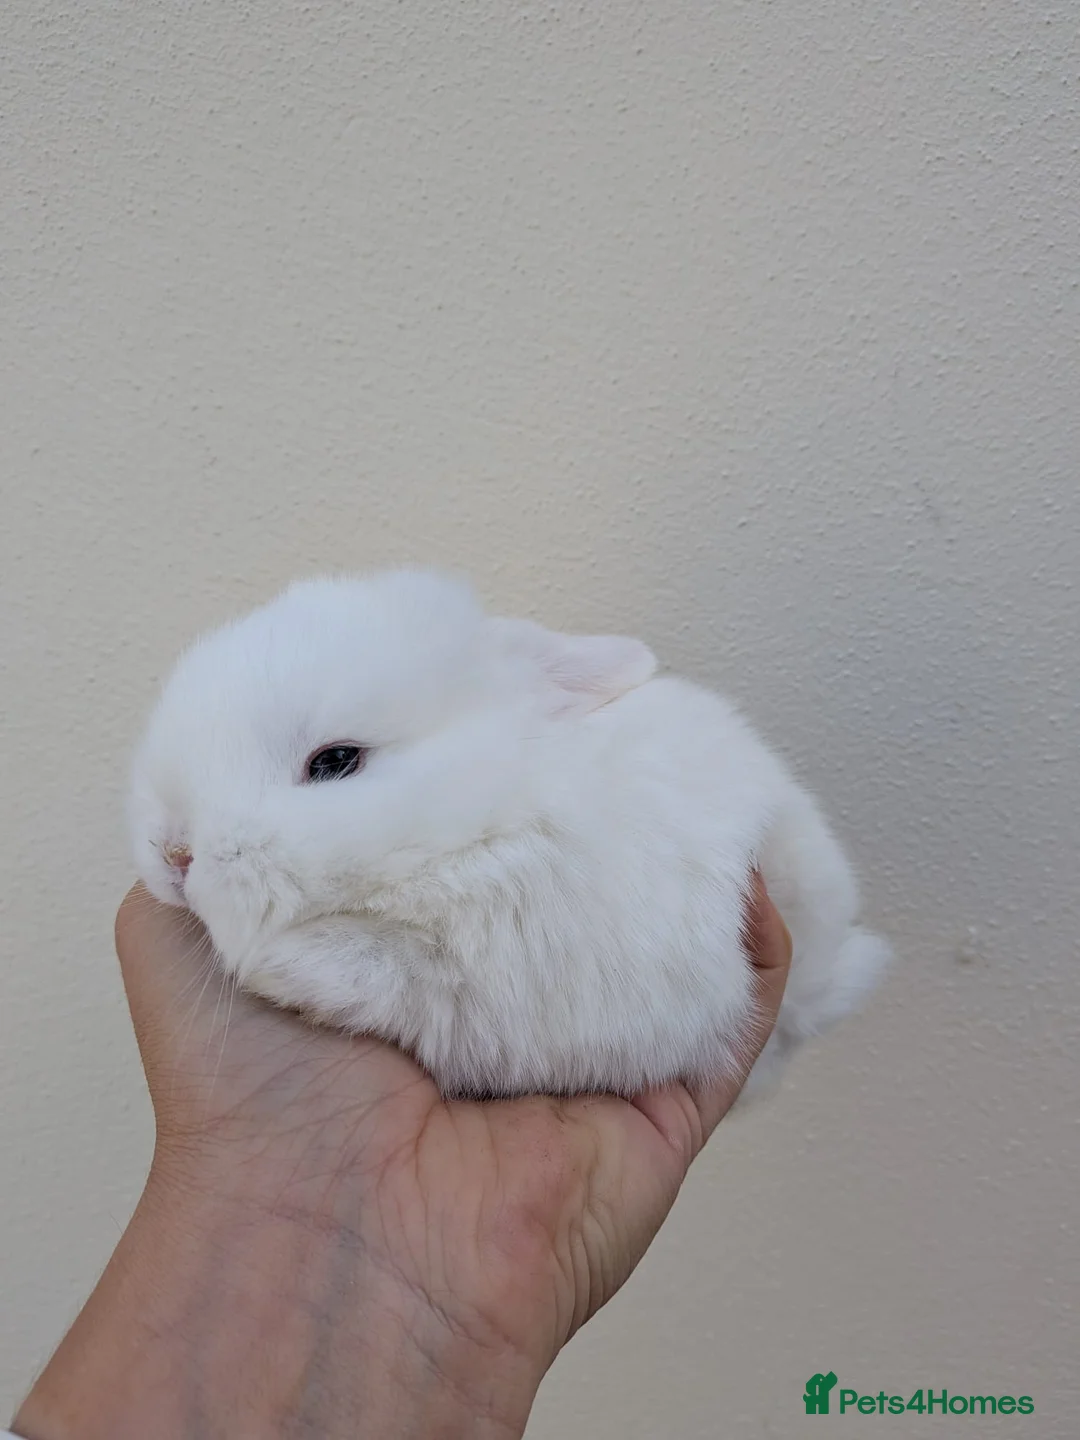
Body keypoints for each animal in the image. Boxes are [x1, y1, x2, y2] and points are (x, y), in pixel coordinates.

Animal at [129, 568, 889, 1098]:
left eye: (336, 761)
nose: (174, 852)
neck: (482, 816)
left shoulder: (481, 979)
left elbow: (380, 968)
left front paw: (270, 964)